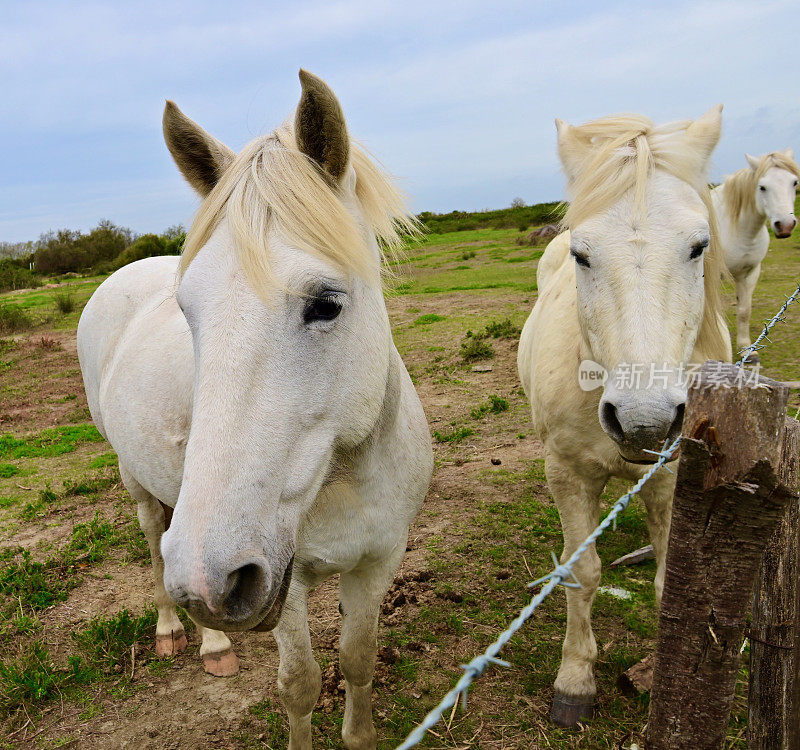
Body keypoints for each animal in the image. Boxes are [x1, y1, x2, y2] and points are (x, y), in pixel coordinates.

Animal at [78, 72, 434, 750]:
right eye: (187, 310)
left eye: (326, 303)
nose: (210, 581)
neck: (342, 479)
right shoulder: (282, 583)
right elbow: (300, 683)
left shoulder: (378, 563)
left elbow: (358, 662)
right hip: (142, 490)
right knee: (155, 538)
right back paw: (189, 636)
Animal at [520, 106, 732, 728]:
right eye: (581, 254)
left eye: (699, 246)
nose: (644, 421)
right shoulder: (567, 474)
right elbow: (582, 571)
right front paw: (574, 679)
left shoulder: (672, 472)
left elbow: (668, 578)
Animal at [712, 151, 800, 362]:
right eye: (762, 187)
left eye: (794, 182)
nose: (785, 225)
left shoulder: (749, 273)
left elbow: (744, 311)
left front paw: (746, 350)